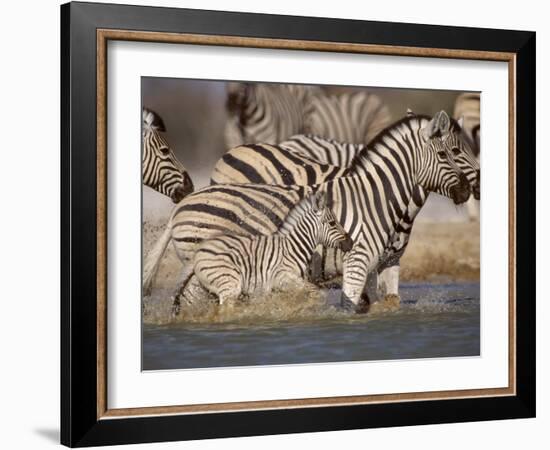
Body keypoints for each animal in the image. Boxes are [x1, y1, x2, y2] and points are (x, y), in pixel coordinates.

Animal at [172, 192, 354, 314]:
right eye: (332, 223)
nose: (351, 243)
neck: (294, 247)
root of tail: (198, 252)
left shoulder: (276, 287)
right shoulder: (282, 277)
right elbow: (316, 292)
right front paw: (303, 308)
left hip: (206, 287)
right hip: (229, 283)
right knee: (224, 310)